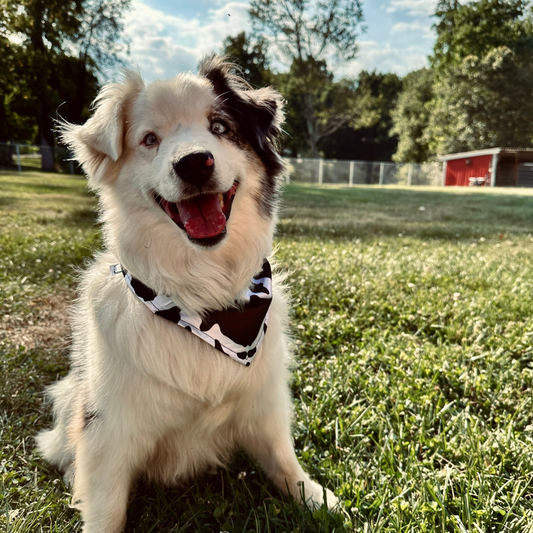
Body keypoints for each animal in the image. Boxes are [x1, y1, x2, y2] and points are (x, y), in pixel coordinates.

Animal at [36, 56, 336, 528]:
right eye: (150, 139)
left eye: (219, 126)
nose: (194, 162)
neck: (203, 299)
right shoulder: (108, 427)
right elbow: (107, 503)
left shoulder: (265, 401)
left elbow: (282, 456)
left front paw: (314, 497)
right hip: (71, 395)